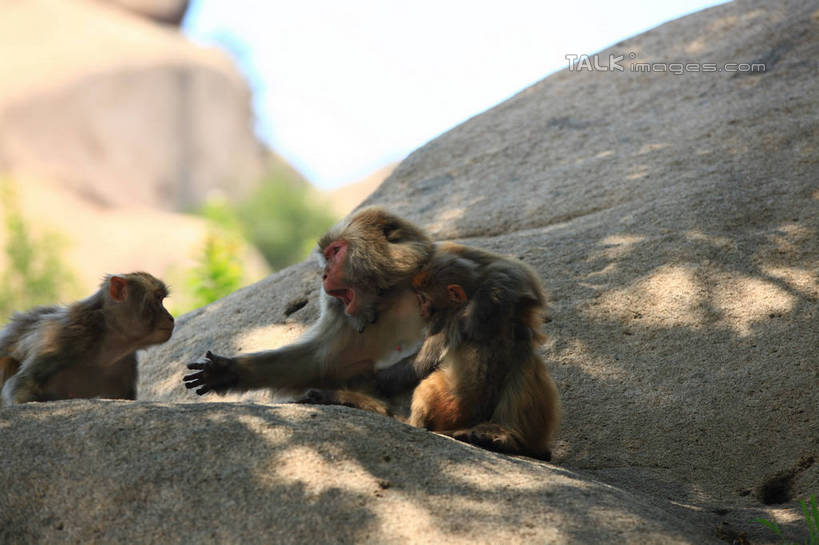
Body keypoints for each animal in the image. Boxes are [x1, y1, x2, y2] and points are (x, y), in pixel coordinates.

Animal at [0, 272, 175, 404]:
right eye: (157, 299)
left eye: (162, 299)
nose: (170, 317)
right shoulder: (64, 339)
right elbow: (20, 388)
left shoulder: (126, 363)